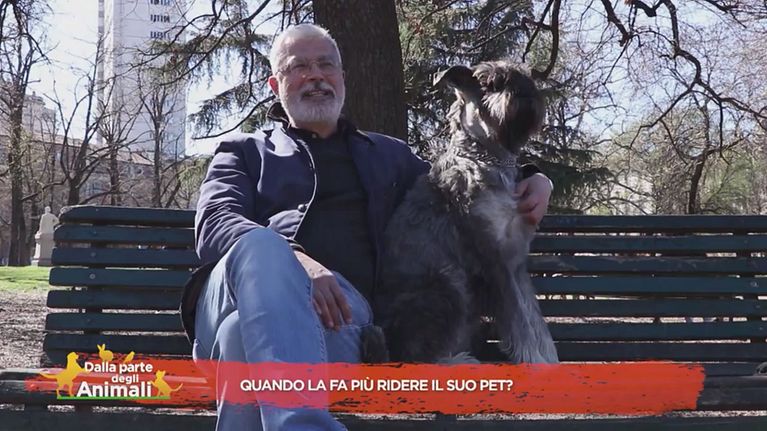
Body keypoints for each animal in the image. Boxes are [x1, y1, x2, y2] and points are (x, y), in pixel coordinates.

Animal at [370, 61, 559, 364]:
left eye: (526, 76)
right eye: (489, 83)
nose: (526, 93)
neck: (486, 157)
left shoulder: (516, 263)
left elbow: (534, 320)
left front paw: (548, 359)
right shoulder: (495, 260)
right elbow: (520, 322)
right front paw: (538, 364)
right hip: (449, 283)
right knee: (419, 358)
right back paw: (461, 361)